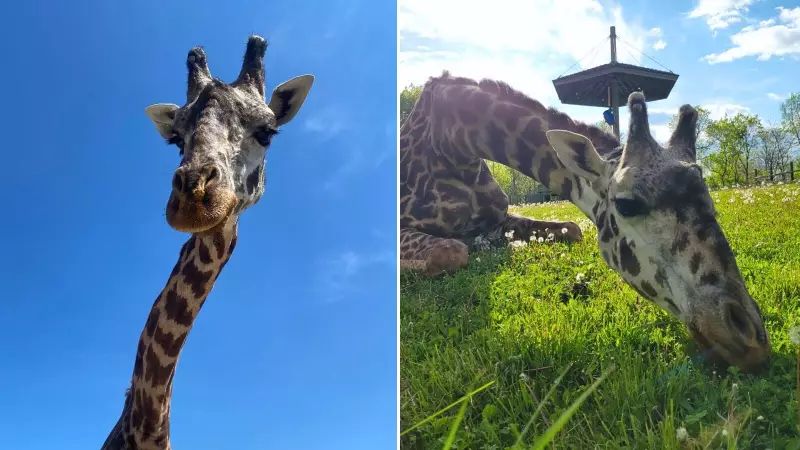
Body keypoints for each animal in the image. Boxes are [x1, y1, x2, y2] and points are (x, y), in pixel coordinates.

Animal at [399, 71, 771, 373]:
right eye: (627, 204)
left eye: (709, 197)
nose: (751, 337)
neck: (453, 143)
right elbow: (451, 251)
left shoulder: (500, 218)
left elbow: (573, 229)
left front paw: (493, 245)